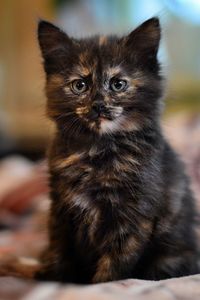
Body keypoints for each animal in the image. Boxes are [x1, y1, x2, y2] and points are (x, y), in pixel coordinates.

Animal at [33, 17, 198, 282]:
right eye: (79, 85)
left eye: (118, 84)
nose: (98, 104)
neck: (96, 150)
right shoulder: (60, 206)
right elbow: (59, 247)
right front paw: (53, 276)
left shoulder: (133, 213)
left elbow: (116, 260)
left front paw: (99, 284)